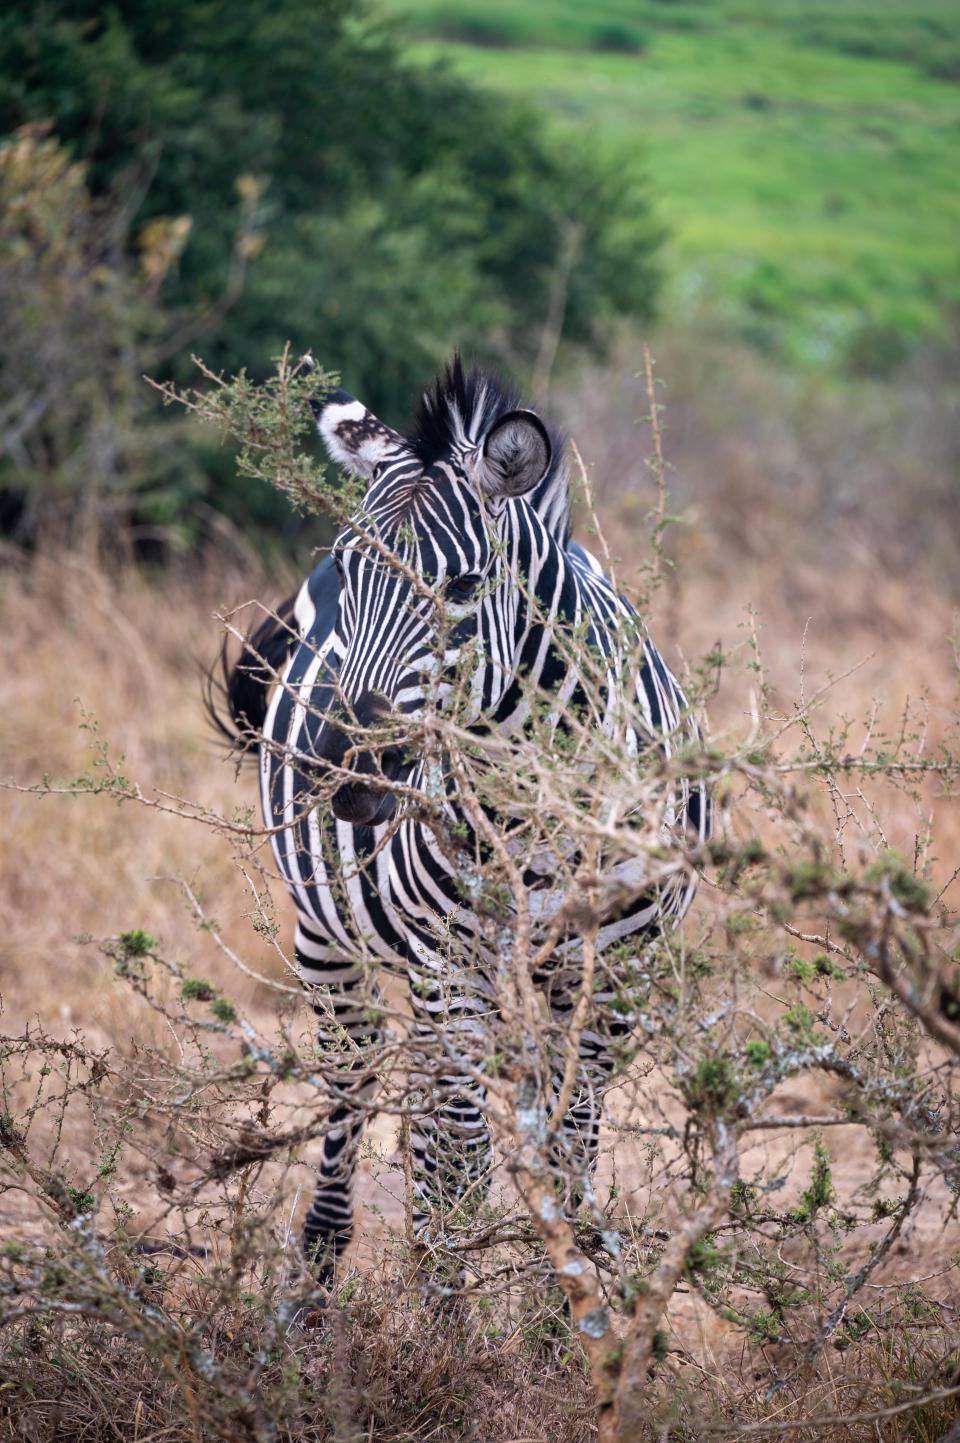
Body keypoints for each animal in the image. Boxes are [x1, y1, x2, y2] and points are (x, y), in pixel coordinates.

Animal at [216, 360, 710, 1287]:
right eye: (348, 571)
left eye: (465, 588)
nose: (347, 771)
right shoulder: (450, 964)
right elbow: (463, 1154)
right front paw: (446, 1311)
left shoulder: (612, 972)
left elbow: (570, 1143)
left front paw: (566, 1307)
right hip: (330, 940)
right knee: (361, 1090)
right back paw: (320, 1282)